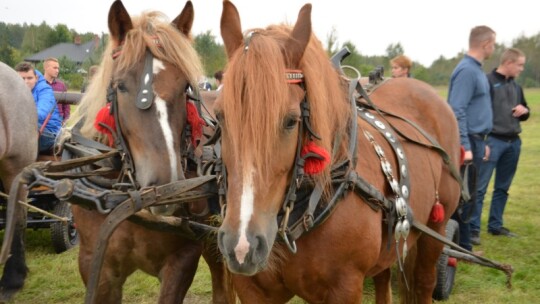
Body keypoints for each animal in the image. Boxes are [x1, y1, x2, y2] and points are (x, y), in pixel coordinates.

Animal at [215, 1, 460, 302]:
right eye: (220, 115)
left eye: (291, 121)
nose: (242, 244)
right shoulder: (254, 290)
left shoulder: (345, 288)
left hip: (436, 229)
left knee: (424, 281)